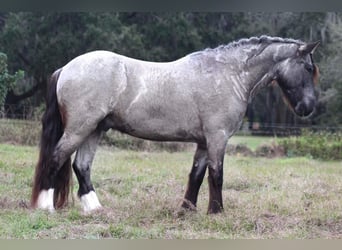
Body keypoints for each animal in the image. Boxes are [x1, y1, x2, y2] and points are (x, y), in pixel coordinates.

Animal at [30, 35, 320, 215]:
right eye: (308, 68)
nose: (309, 107)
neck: (228, 75)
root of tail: (66, 68)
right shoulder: (217, 138)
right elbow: (217, 175)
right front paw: (217, 212)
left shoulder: (203, 142)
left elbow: (196, 176)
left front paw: (187, 210)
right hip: (79, 129)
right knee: (56, 158)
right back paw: (45, 206)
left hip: (94, 129)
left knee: (81, 166)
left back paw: (95, 208)